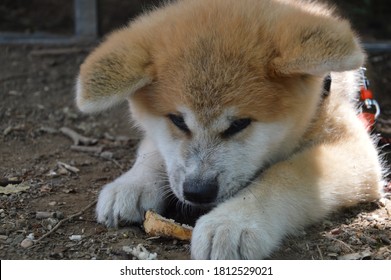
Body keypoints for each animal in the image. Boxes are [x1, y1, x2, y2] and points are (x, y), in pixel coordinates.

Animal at [75, 0, 384, 260]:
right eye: (177, 120)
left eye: (239, 124)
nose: (198, 192)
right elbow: (154, 150)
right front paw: (132, 184)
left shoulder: (350, 146)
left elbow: (286, 174)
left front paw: (234, 220)